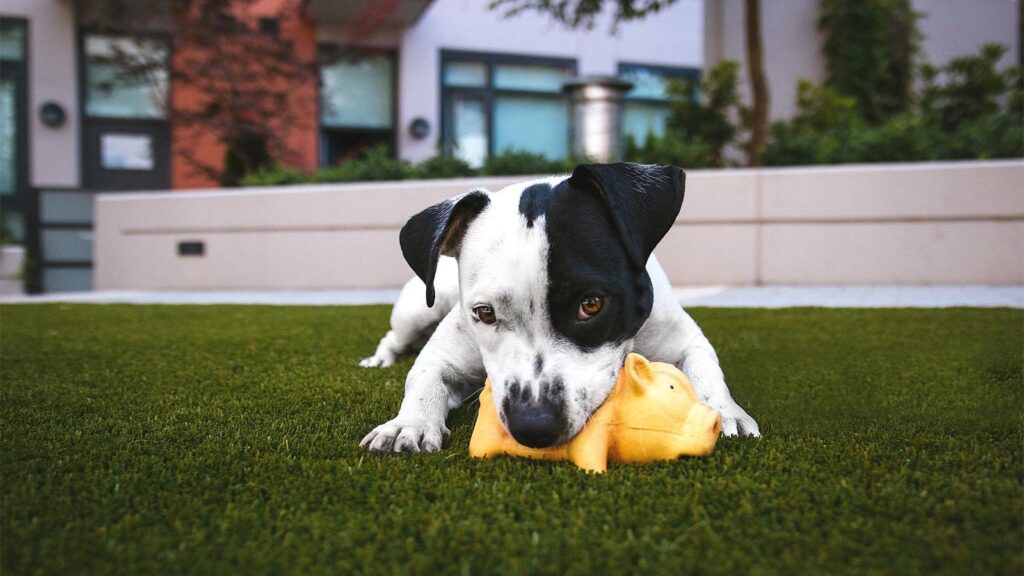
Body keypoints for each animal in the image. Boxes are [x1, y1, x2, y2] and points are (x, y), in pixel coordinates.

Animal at [358, 162, 753, 453]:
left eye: (591, 304)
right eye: (485, 313)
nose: (533, 426)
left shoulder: (684, 339)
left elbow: (705, 369)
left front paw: (722, 411)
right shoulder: (444, 354)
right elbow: (424, 379)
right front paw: (408, 423)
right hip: (419, 308)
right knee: (394, 337)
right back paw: (379, 360)